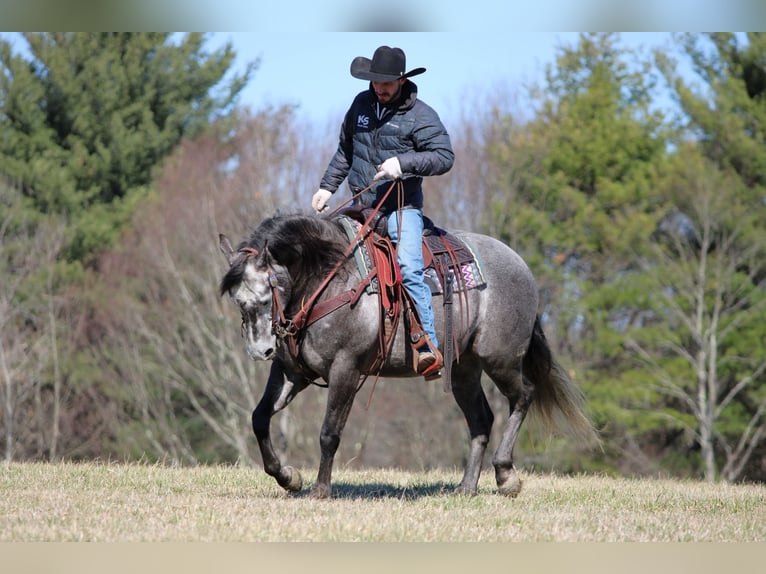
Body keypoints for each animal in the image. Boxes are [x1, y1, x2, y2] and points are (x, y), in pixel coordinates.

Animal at [218, 212, 597, 498]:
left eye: (267, 294)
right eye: (238, 301)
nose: (261, 350)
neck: (329, 280)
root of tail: (521, 265)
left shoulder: (345, 370)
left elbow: (329, 432)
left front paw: (320, 490)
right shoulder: (291, 372)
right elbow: (259, 417)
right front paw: (288, 477)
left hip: (500, 360)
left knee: (523, 397)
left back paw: (506, 476)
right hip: (464, 370)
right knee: (481, 420)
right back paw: (466, 487)